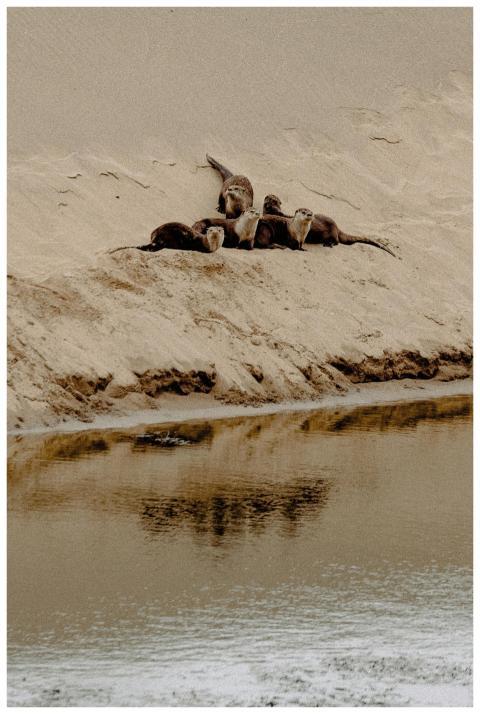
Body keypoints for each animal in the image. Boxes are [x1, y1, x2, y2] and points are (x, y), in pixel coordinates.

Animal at [263, 194, 395, 256]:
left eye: (275, 200)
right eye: (270, 199)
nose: (269, 200)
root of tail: (337, 226)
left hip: (332, 232)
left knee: (336, 241)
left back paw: (328, 244)